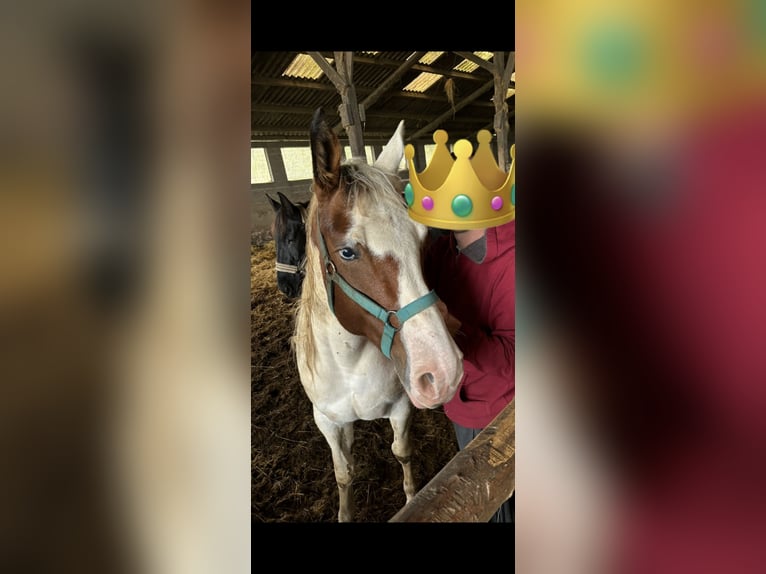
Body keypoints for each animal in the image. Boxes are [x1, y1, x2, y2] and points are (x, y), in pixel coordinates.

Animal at [292, 109, 464, 522]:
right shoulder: (327, 420)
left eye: (423, 237)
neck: (350, 365)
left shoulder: (402, 407)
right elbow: (344, 473)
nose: (443, 371)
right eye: (348, 252)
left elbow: (402, 454)